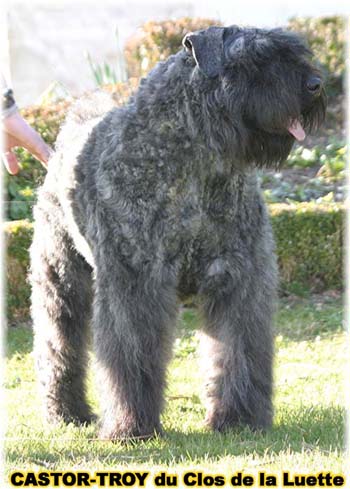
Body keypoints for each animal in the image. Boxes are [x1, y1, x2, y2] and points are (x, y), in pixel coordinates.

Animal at [29, 23, 326, 438]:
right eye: (253, 58)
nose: (315, 84)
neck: (198, 166)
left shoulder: (239, 279)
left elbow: (239, 348)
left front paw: (240, 418)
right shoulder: (135, 286)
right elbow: (131, 355)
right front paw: (131, 426)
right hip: (60, 281)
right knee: (59, 347)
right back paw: (66, 413)